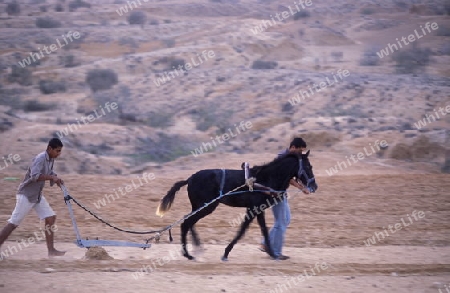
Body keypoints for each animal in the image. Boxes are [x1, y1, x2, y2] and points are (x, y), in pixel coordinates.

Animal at [156, 151, 316, 260]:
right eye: (308, 166)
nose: (314, 186)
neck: (263, 179)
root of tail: (190, 179)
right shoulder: (254, 208)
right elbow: (249, 230)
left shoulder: (256, 210)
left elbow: (255, 230)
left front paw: (271, 253)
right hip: (206, 207)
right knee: (186, 223)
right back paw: (188, 254)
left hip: (201, 207)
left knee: (188, 222)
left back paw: (196, 248)